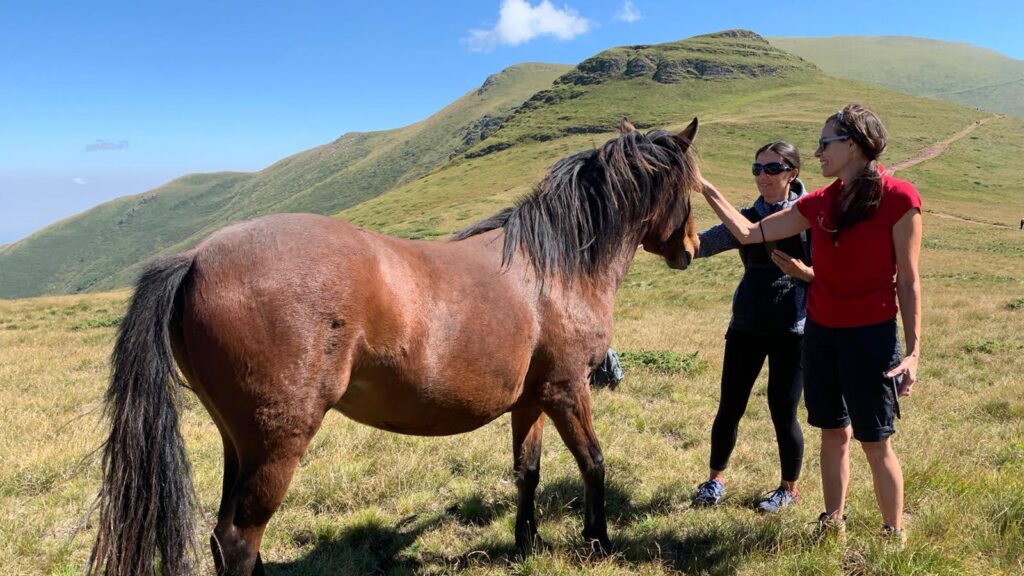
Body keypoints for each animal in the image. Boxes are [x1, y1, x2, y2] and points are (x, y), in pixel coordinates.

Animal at [88, 118, 702, 575]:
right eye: (693, 189)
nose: (692, 248)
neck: (554, 268)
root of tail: (195, 258)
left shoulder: (531, 401)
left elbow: (528, 472)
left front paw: (526, 544)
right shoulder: (568, 390)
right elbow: (594, 464)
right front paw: (598, 542)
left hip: (238, 443)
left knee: (230, 538)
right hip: (276, 444)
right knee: (239, 538)